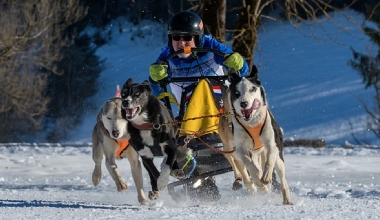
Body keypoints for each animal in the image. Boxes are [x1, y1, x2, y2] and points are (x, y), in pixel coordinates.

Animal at [229, 65, 294, 205]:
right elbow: (249, 163)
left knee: (282, 179)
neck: (252, 122)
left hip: (279, 159)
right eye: (236, 92)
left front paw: (266, 177)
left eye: (252, 88)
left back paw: (286, 199)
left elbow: (269, 161)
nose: (243, 103)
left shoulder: (271, 144)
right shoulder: (240, 149)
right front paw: (259, 179)